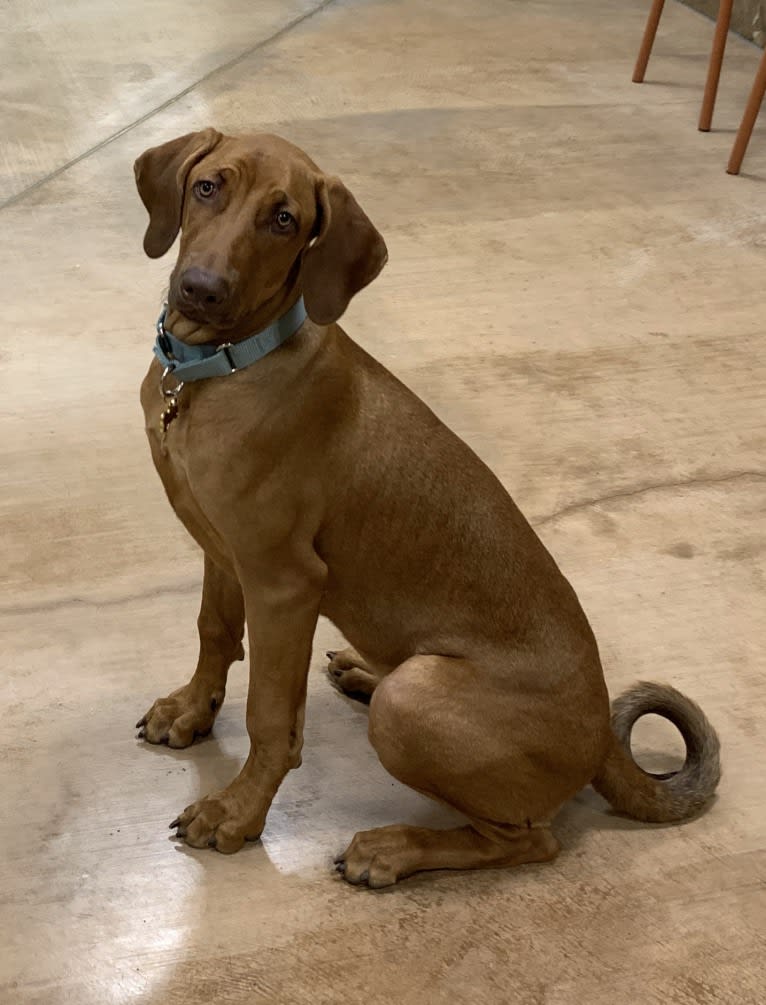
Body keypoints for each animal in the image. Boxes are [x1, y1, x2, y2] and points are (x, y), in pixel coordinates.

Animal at [132, 131, 715, 888]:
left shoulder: (284, 581)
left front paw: (237, 812)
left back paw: (394, 848)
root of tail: (600, 745)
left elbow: (270, 719)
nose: (202, 289)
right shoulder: (222, 545)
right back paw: (362, 671)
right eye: (208, 186)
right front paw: (190, 709)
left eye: (285, 219)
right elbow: (213, 631)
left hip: (412, 703)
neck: (217, 370)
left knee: (528, 841)